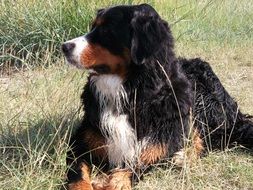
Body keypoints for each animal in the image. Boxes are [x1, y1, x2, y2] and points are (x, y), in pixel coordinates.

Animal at [61, 3, 253, 190]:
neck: (128, 93)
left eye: (106, 31)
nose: (64, 46)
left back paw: (184, 157)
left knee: (205, 140)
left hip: (201, 103)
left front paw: (113, 180)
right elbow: (78, 172)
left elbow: (138, 164)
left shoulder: (160, 143)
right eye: (92, 27)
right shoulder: (80, 143)